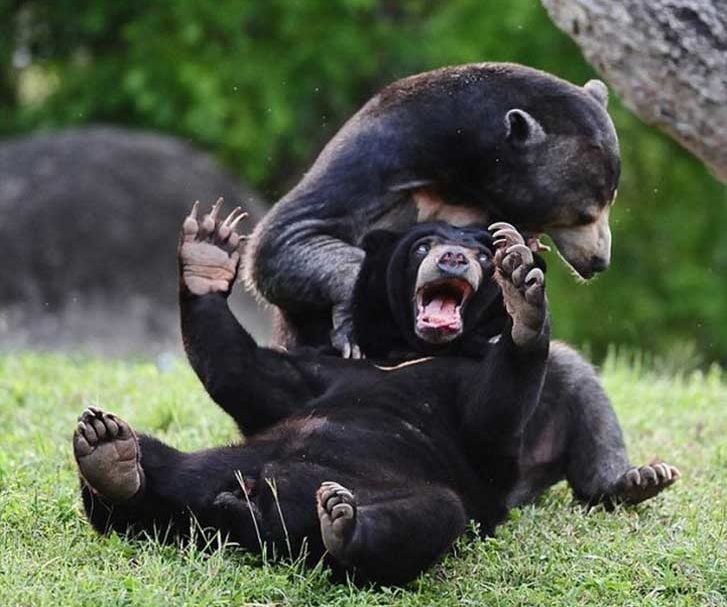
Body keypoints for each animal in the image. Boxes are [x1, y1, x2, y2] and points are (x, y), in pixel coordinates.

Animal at [72, 200, 552, 584]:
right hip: (214, 467)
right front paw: (207, 254)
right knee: (158, 471)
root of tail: (254, 515)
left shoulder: (466, 398)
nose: (453, 258)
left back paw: (345, 527)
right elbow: (243, 373)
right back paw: (109, 455)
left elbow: (491, 420)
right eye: (423, 246)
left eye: (483, 256)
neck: (405, 353)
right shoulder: (321, 372)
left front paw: (521, 293)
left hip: (394, 491)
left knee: (431, 515)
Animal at [243, 61, 620, 356]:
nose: (599, 261)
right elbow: (290, 234)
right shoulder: (382, 154)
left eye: (610, 201)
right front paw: (352, 325)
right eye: (585, 214)